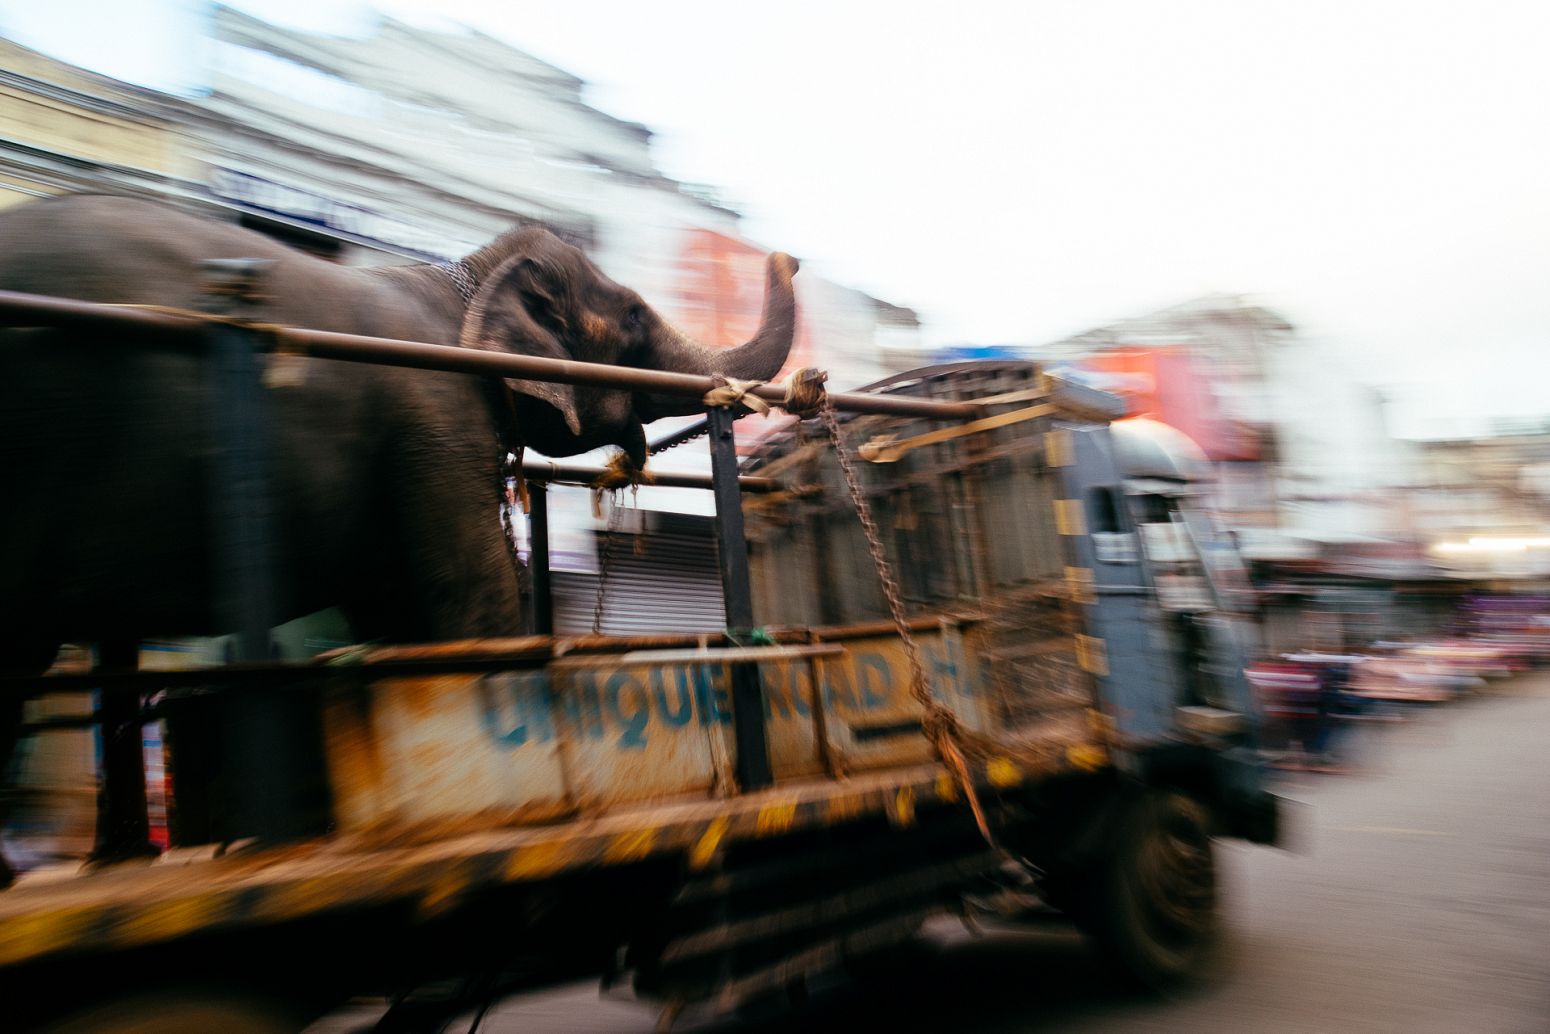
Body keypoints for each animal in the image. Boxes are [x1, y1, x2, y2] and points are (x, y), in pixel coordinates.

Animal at [0, 192, 799, 880]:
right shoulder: (438, 419)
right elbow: (468, 600)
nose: (788, 255)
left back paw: (117, 861)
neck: (468, 284)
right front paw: (513, 808)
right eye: (632, 316)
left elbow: (392, 618)